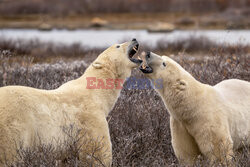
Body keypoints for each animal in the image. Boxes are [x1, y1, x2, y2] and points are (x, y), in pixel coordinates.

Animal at [0, 39, 143, 166]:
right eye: (117, 45)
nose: (134, 39)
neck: (96, 93)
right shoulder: (90, 117)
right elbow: (97, 151)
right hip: (14, 126)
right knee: (10, 155)